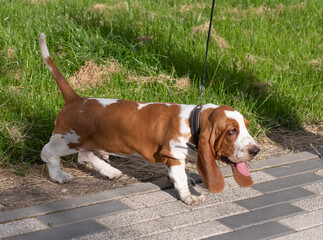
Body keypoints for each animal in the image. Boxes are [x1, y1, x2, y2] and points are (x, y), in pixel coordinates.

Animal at [39, 33, 260, 205]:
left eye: (246, 126)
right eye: (232, 130)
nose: (255, 151)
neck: (193, 122)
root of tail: (75, 99)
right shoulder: (174, 156)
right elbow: (181, 179)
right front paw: (189, 197)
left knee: (85, 156)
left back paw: (110, 171)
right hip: (66, 140)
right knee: (48, 152)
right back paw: (59, 176)